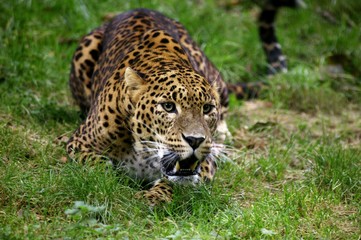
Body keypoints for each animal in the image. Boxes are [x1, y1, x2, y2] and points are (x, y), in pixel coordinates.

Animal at [65, 0, 300, 205]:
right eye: (168, 106)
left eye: (207, 108)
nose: (195, 140)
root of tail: (138, 8)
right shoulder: (77, 144)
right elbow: (102, 167)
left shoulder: (205, 164)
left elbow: (174, 182)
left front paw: (152, 198)